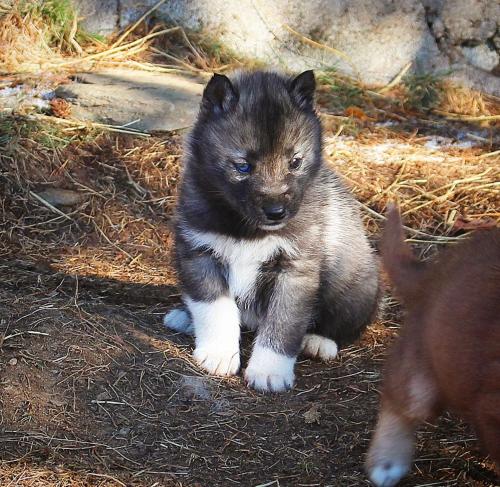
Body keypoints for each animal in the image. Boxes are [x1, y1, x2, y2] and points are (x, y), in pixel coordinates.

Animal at [164, 69, 378, 392]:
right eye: (242, 166)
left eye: (295, 162)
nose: (276, 212)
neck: (247, 229)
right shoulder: (199, 254)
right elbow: (215, 307)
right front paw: (218, 352)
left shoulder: (296, 270)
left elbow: (284, 323)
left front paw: (270, 370)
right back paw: (186, 318)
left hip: (355, 286)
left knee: (346, 322)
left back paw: (320, 341)